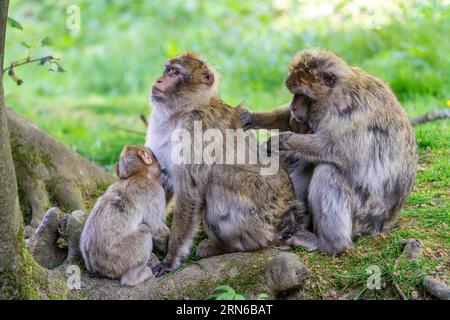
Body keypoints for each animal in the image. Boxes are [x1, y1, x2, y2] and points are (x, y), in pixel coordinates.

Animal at [79, 145, 169, 284]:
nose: (161, 166)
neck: (137, 175)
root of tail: (96, 268)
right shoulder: (155, 190)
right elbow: (156, 228)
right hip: (119, 259)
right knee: (145, 230)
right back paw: (135, 278)